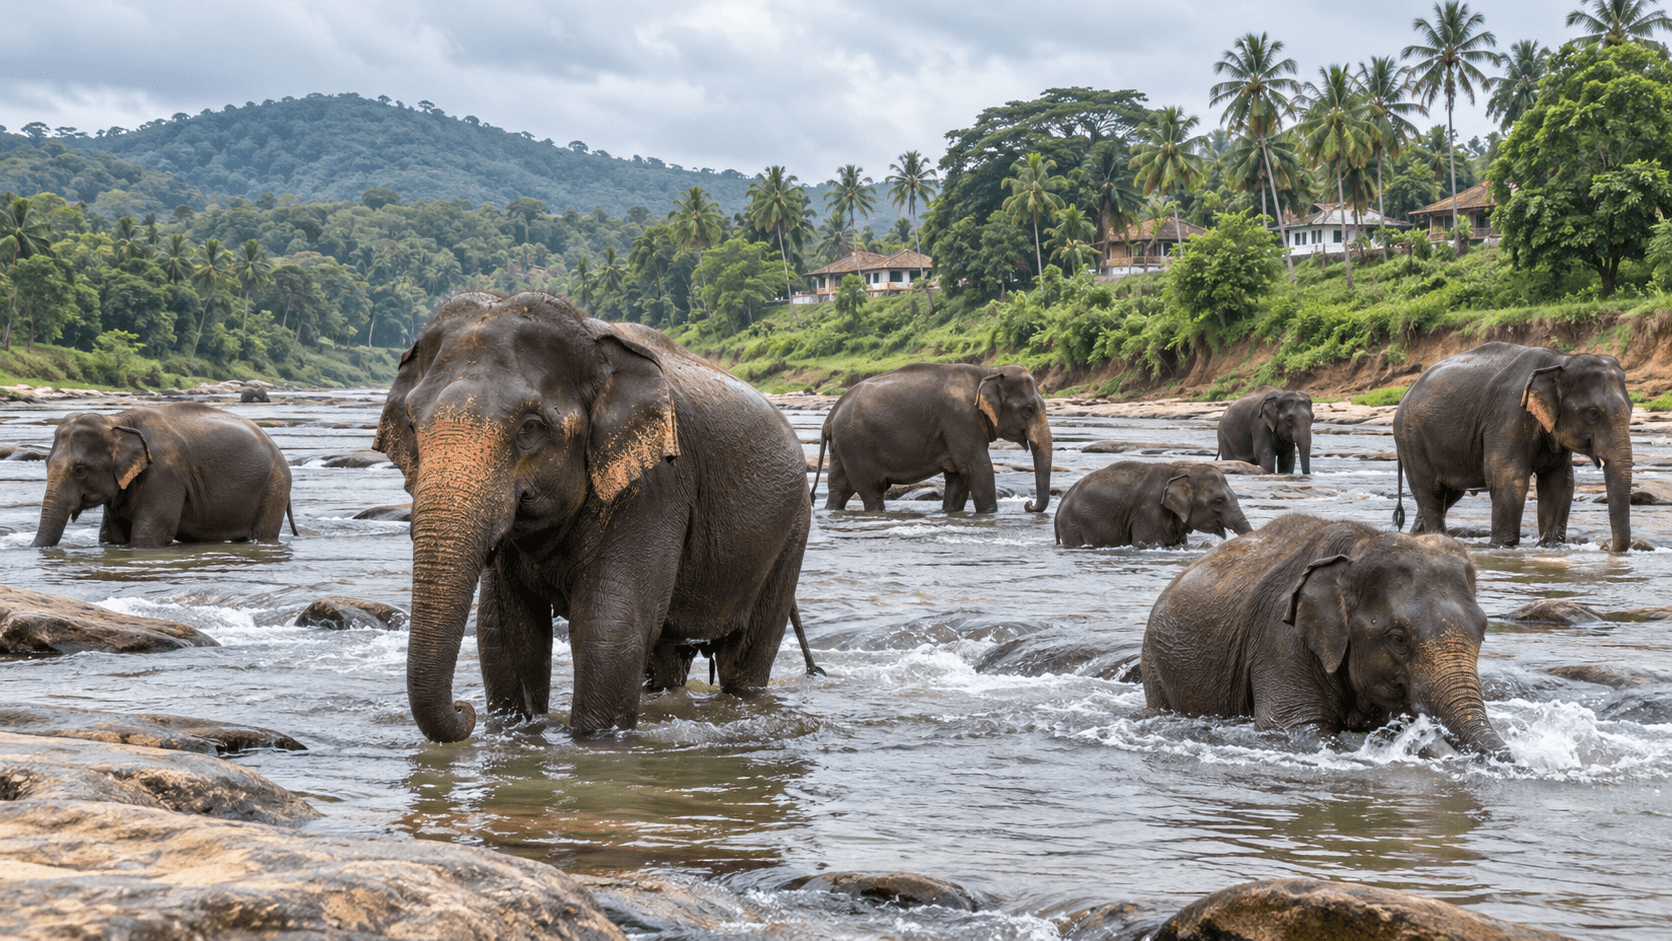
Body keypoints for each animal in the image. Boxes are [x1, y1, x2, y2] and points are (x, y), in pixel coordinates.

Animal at [33, 403, 293, 548]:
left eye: (80, 470)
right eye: (46, 463)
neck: (117, 420)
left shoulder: (165, 476)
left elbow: (148, 535)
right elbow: (112, 535)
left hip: (274, 488)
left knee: (263, 534)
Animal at [374, 291, 810, 742]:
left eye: (530, 428)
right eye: (412, 425)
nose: (465, 709)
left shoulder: (657, 484)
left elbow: (610, 626)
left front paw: (591, 741)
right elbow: (505, 631)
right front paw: (519, 729)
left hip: (791, 531)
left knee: (745, 656)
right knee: (667, 659)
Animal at [810, 363, 1052, 513]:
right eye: (1029, 409)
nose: (1028, 505)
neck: (988, 371)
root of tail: (832, 412)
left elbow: (958, 476)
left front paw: (951, 512)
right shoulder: (961, 419)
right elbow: (977, 467)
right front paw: (990, 514)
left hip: (842, 444)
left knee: (839, 488)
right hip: (857, 443)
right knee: (872, 490)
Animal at [1142, 513, 1512, 762]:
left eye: (1483, 630)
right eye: (1398, 639)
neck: (1360, 547)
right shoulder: (1280, 641)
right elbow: (1293, 729)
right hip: (1155, 666)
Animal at [1392, 341, 1633, 552]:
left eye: (1631, 409)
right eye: (1593, 413)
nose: (1606, 548)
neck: (1560, 360)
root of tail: (1405, 394)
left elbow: (1559, 483)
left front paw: (1550, 546)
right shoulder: (1507, 414)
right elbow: (1509, 479)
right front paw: (1503, 546)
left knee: (1447, 496)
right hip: (1411, 439)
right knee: (1431, 494)